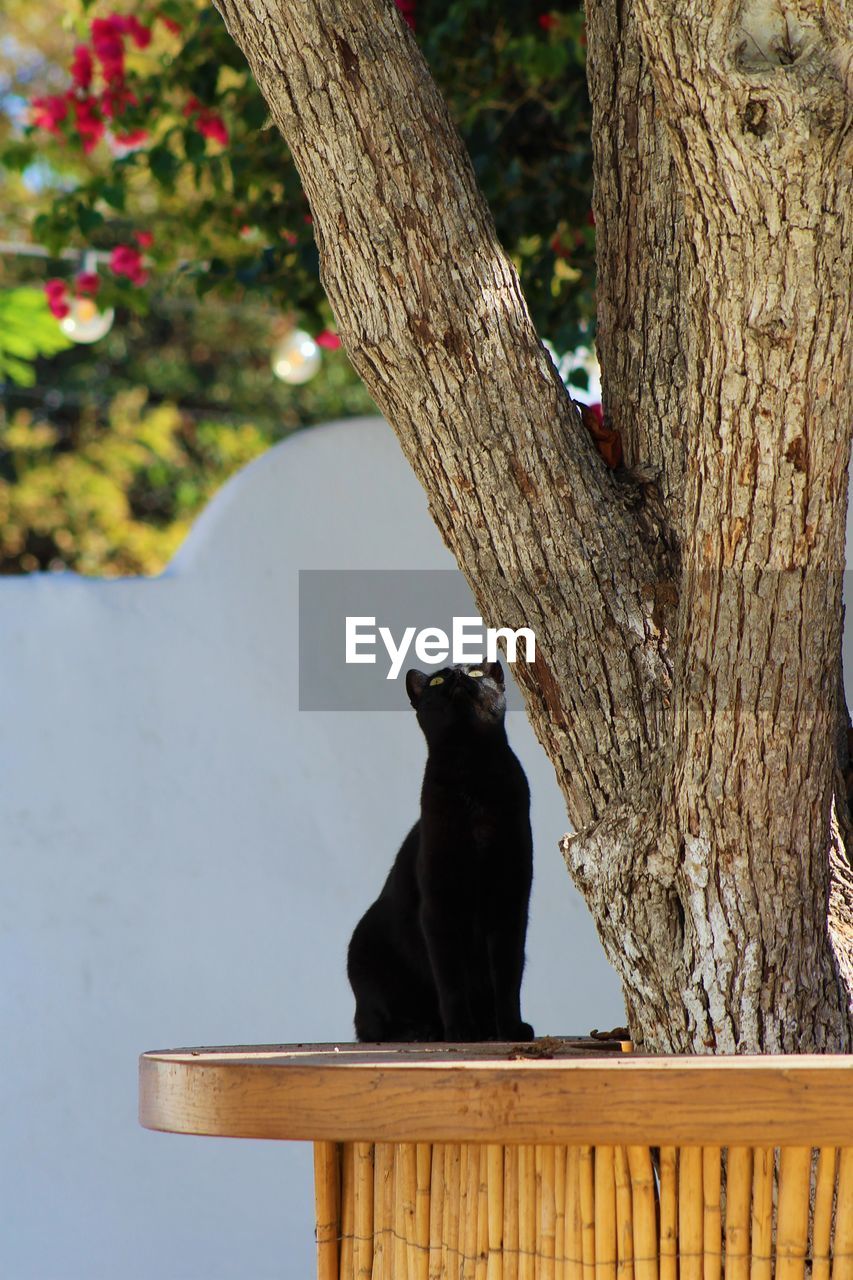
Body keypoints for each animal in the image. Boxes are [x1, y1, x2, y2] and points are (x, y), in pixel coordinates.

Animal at [345, 665, 532, 1044]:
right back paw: (424, 1031)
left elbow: (508, 974)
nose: (459, 675)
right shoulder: (439, 907)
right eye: (436, 680)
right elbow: (451, 978)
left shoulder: (510, 899)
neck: (471, 776)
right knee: (372, 1026)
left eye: (475, 670)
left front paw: (511, 1030)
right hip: (364, 951)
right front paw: (460, 1032)